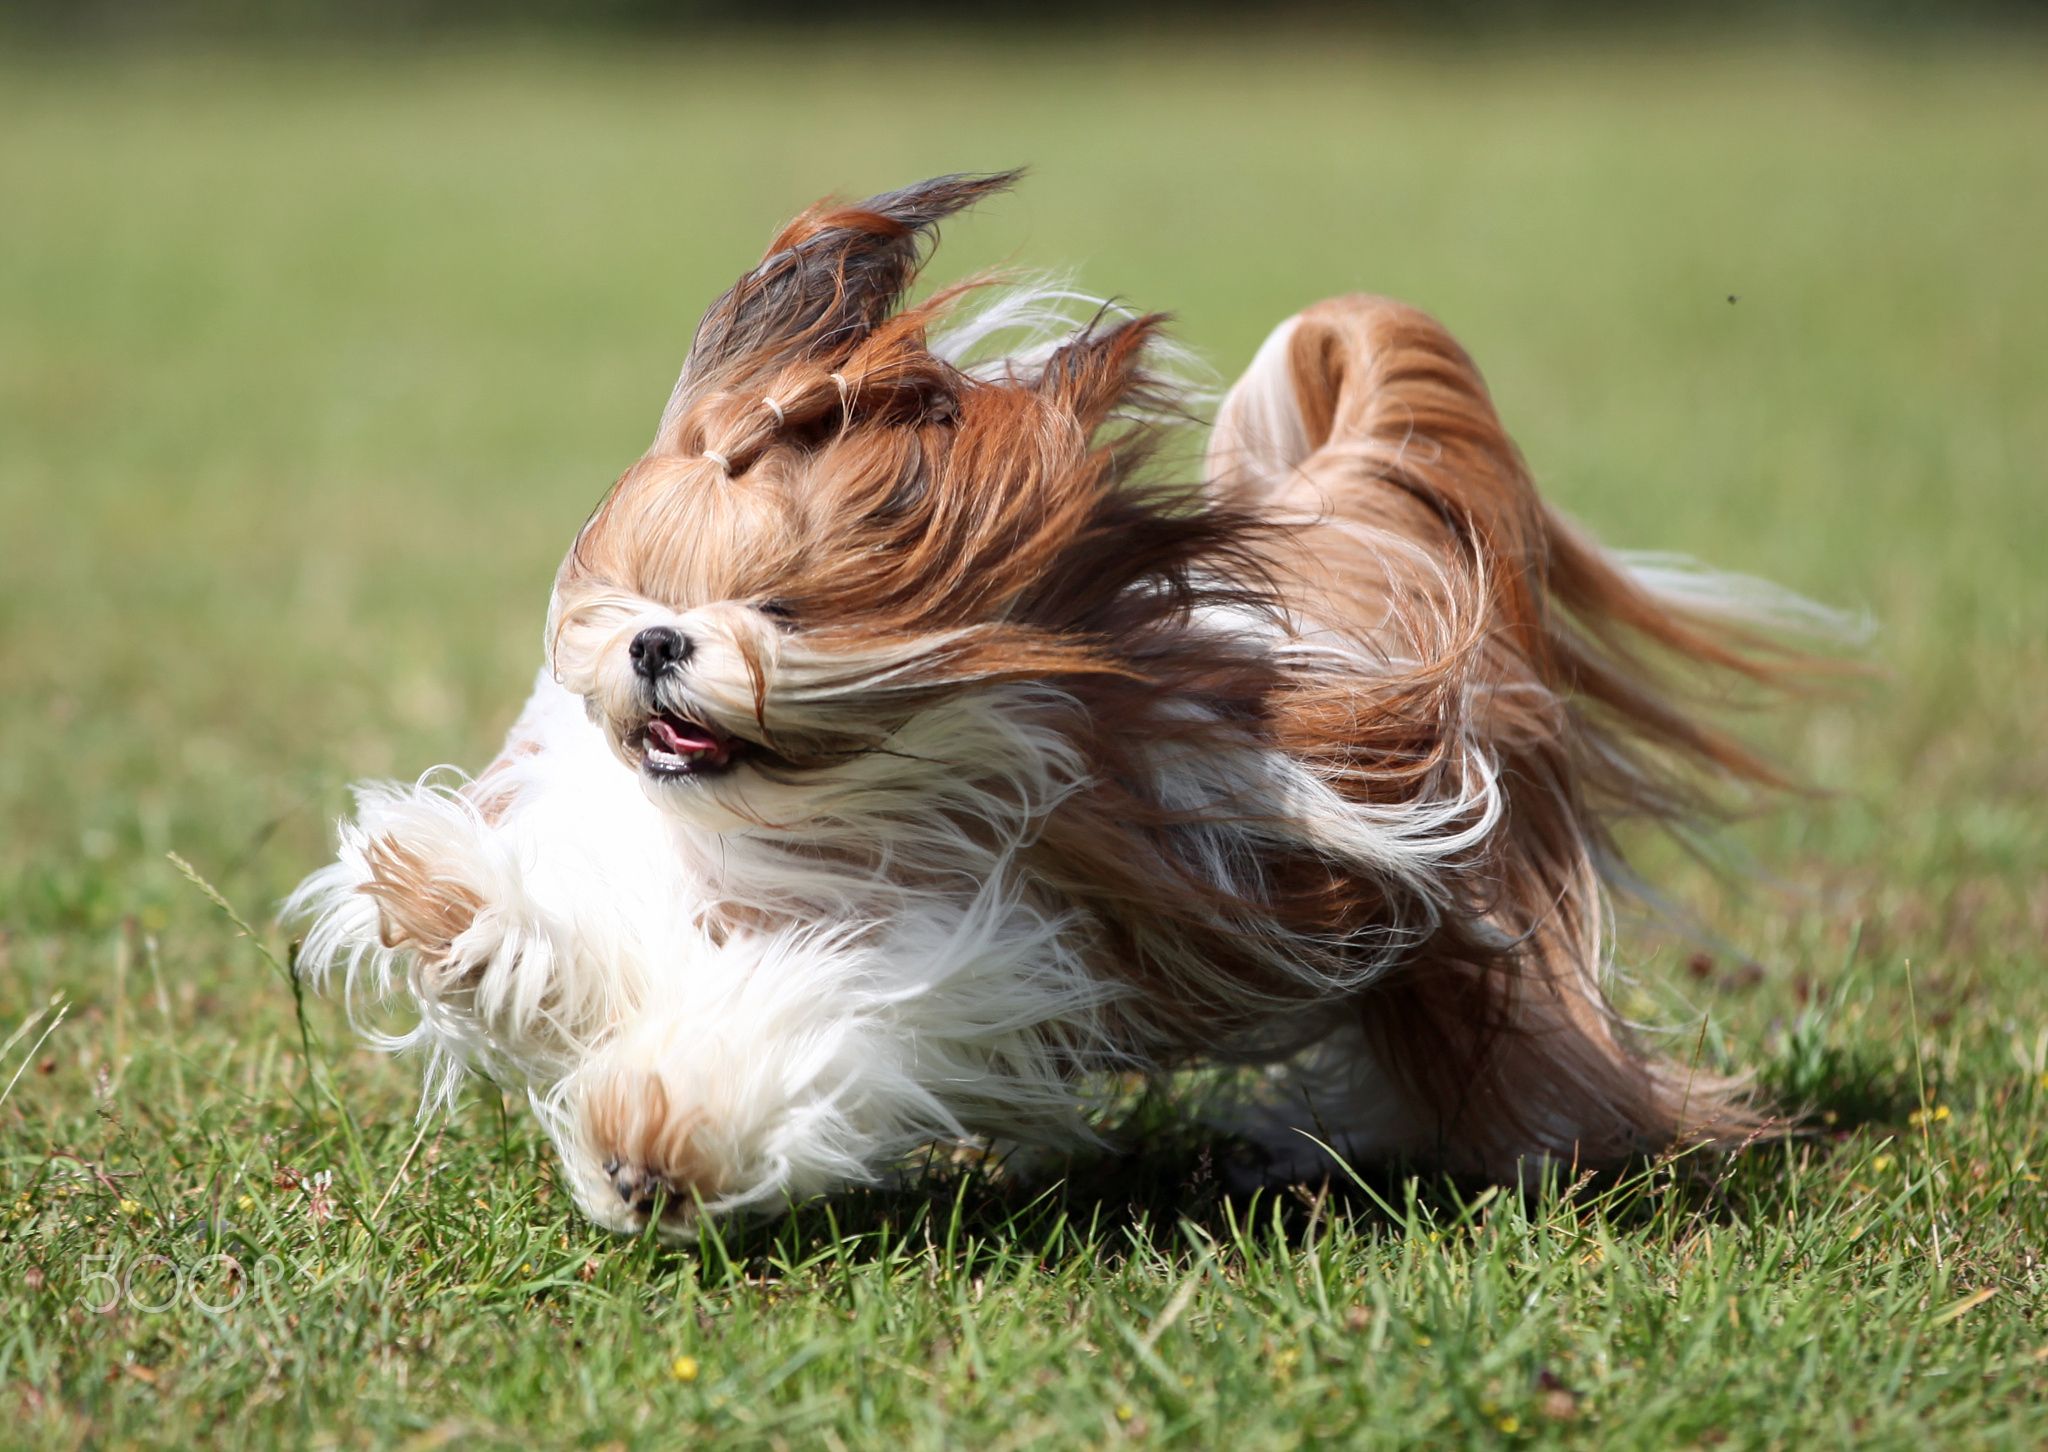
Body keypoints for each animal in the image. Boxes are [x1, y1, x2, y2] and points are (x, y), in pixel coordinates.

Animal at [284, 169, 1826, 1236]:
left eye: (784, 610)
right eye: (643, 584)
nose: (662, 645)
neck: (803, 806)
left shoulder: (967, 943)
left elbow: (786, 1027)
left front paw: (652, 1152)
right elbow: (573, 931)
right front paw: (443, 900)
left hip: (1459, 945)